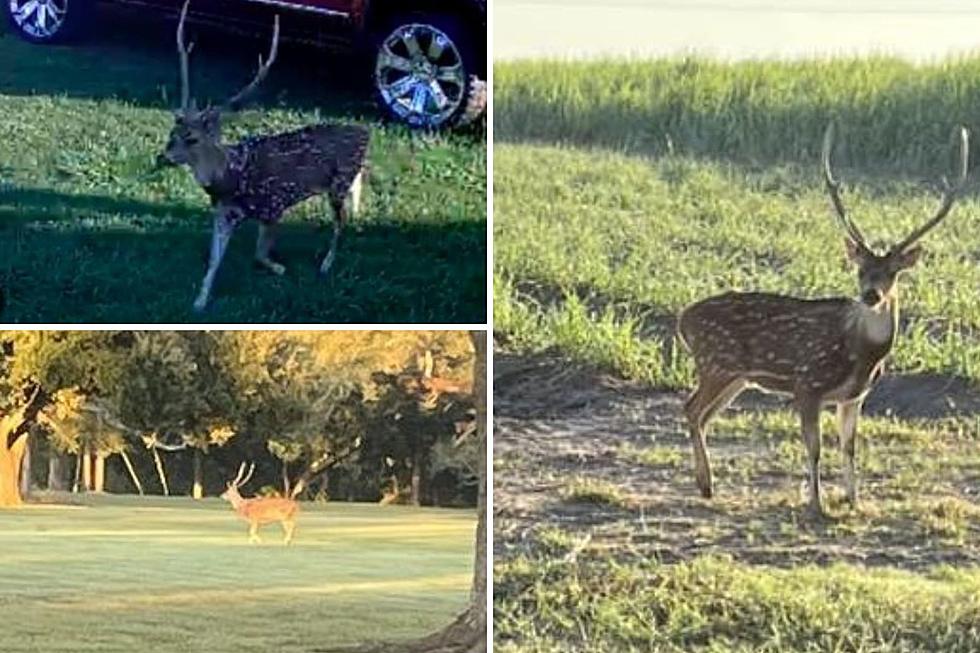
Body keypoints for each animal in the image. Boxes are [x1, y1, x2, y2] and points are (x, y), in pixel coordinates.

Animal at [161, 0, 372, 310]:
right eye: (172, 133)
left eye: (192, 138)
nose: (162, 157)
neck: (232, 177)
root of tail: (365, 132)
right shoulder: (223, 213)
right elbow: (213, 260)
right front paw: (200, 300)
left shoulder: (274, 206)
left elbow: (259, 255)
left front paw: (280, 268)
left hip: (338, 183)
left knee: (340, 221)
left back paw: (326, 264)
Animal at [676, 122, 968, 516]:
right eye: (860, 270)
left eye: (892, 272)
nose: (871, 295)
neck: (862, 355)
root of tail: (682, 321)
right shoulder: (808, 384)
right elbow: (814, 447)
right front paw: (817, 503)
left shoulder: (855, 396)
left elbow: (849, 446)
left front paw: (854, 499)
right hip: (716, 363)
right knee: (691, 409)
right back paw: (706, 483)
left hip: (736, 377)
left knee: (701, 414)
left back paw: (706, 485)